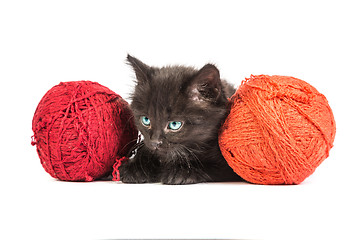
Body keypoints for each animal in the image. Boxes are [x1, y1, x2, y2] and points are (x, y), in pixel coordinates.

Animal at [119, 55, 242, 185]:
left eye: (174, 124)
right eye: (146, 120)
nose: (154, 142)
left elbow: (211, 166)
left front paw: (181, 171)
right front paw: (135, 168)